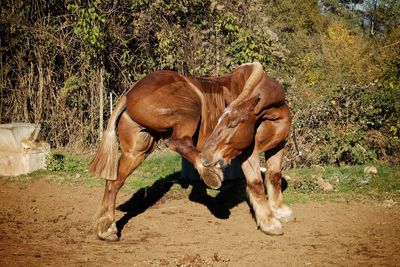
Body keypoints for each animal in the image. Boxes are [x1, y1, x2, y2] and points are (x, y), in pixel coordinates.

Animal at [89, 62, 292, 241]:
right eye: (219, 121)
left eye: (232, 124)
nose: (209, 156)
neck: (270, 114)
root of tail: (129, 95)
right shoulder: (247, 151)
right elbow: (256, 183)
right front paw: (269, 223)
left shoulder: (278, 146)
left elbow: (274, 176)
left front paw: (280, 210)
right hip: (189, 112)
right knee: (177, 142)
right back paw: (210, 173)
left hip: (137, 151)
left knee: (114, 183)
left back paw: (106, 228)